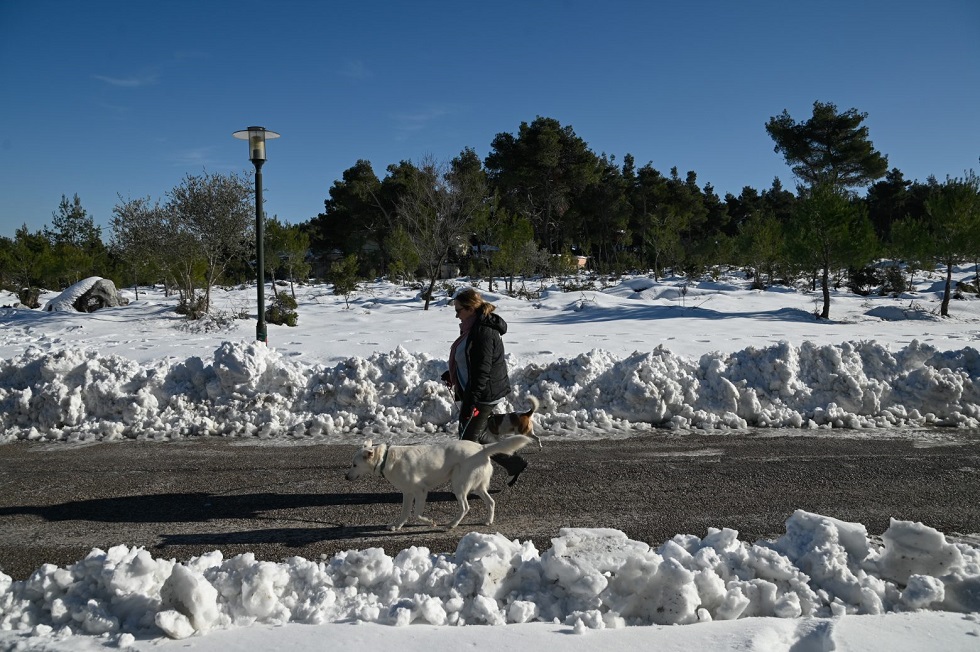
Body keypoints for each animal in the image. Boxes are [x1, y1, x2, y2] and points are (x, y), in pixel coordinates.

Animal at [348, 432, 532, 528]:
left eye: (354, 465)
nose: (345, 476)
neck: (385, 458)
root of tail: (481, 448)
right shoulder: (407, 493)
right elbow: (405, 513)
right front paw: (397, 526)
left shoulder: (420, 491)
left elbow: (416, 514)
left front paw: (430, 522)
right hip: (477, 487)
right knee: (491, 502)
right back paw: (488, 520)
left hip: (459, 485)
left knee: (466, 507)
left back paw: (452, 524)